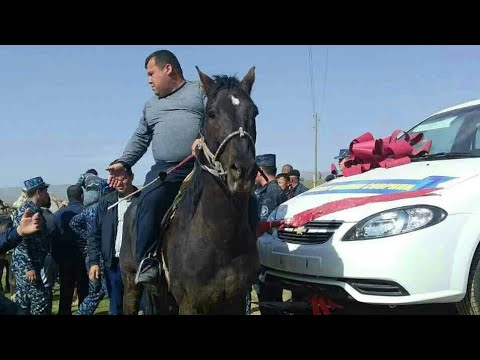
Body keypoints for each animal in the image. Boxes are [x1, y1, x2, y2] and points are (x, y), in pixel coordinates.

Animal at [122, 66, 260, 314]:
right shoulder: (190, 304)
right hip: (130, 283)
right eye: (212, 113)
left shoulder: (234, 301)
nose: (243, 171)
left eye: (254, 112)